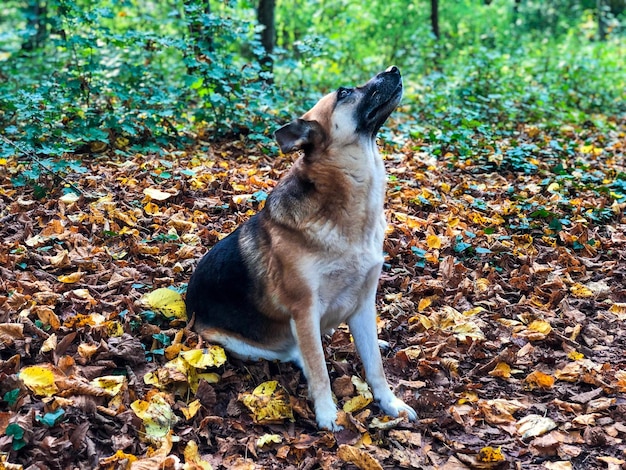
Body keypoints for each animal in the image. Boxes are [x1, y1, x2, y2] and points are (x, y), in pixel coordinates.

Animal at [185, 66, 414, 430]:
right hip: (237, 341)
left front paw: (390, 403)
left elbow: (375, 366)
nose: (393, 69)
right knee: (298, 353)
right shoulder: (304, 310)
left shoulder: (364, 303)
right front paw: (327, 414)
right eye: (344, 92)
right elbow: (319, 368)